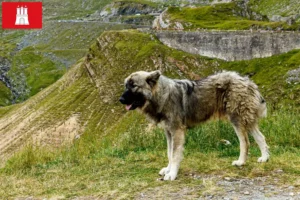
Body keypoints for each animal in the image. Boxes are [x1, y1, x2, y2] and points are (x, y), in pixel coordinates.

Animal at [119, 70, 270, 181]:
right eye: (126, 86)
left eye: (134, 86)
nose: (120, 99)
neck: (162, 95)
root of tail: (247, 81)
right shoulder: (169, 132)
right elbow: (169, 153)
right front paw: (168, 169)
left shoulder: (177, 131)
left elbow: (175, 154)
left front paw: (172, 174)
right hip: (246, 120)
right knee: (260, 137)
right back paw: (264, 158)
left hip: (237, 119)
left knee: (245, 142)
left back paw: (241, 162)